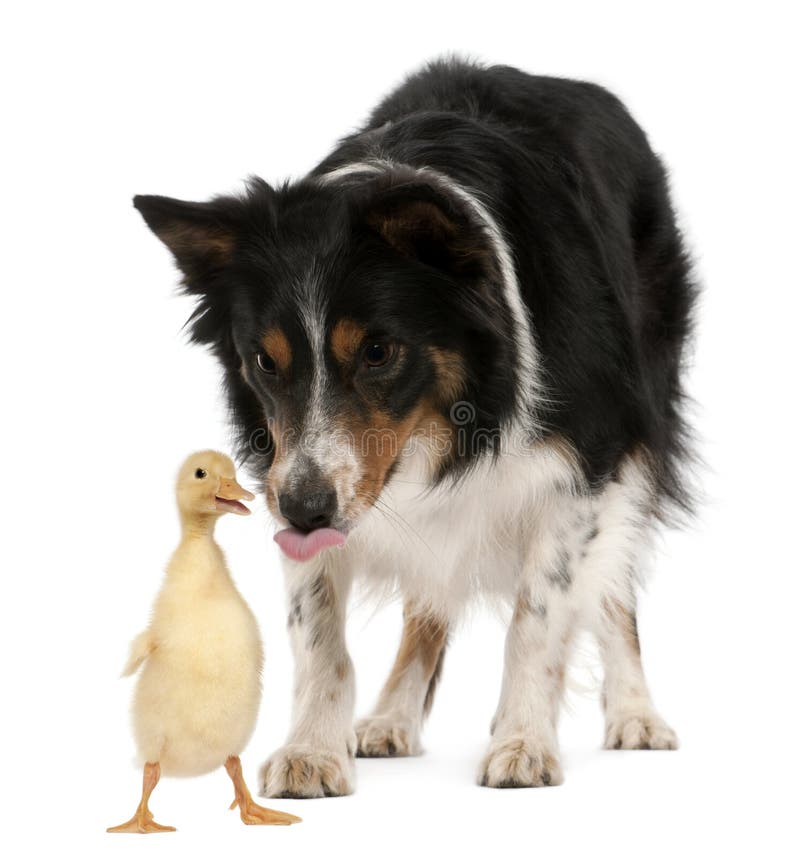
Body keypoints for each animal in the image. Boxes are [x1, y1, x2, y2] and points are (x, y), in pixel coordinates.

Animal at [133, 58, 692, 796]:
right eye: (264, 360)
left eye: (378, 351)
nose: (305, 511)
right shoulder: (298, 475)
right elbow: (320, 635)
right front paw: (313, 749)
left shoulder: (588, 461)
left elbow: (539, 616)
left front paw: (523, 741)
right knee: (427, 602)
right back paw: (392, 716)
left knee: (615, 586)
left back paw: (636, 713)